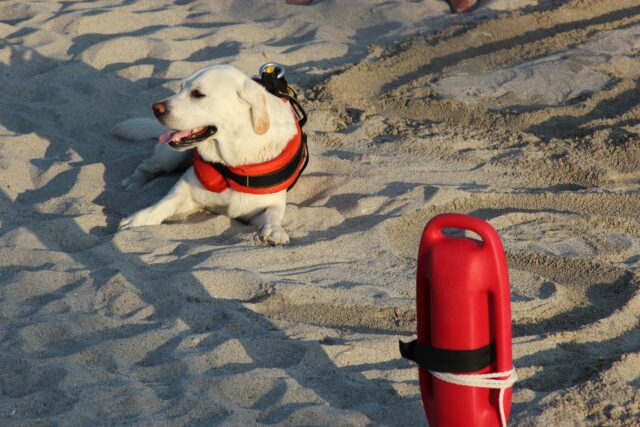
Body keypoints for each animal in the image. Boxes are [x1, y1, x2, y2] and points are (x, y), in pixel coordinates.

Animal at [112, 64, 308, 246]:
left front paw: (274, 230)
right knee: (148, 165)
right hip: (170, 156)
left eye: (198, 94)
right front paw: (138, 218)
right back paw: (134, 181)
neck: (231, 162)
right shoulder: (187, 187)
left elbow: (274, 213)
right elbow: (164, 203)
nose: (155, 108)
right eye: (181, 87)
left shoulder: (268, 203)